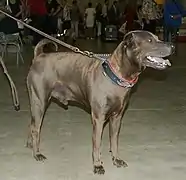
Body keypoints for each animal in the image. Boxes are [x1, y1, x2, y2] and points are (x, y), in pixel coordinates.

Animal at [26, 30, 174, 174]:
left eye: (157, 37)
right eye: (150, 40)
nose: (172, 46)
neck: (115, 76)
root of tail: (39, 56)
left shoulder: (117, 117)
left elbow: (114, 141)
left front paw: (116, 159)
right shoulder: (98, 118)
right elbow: (97, 144)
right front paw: (97, 165)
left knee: (32, 124)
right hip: (39, 102)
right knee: (35, 128)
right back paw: (36, 153)